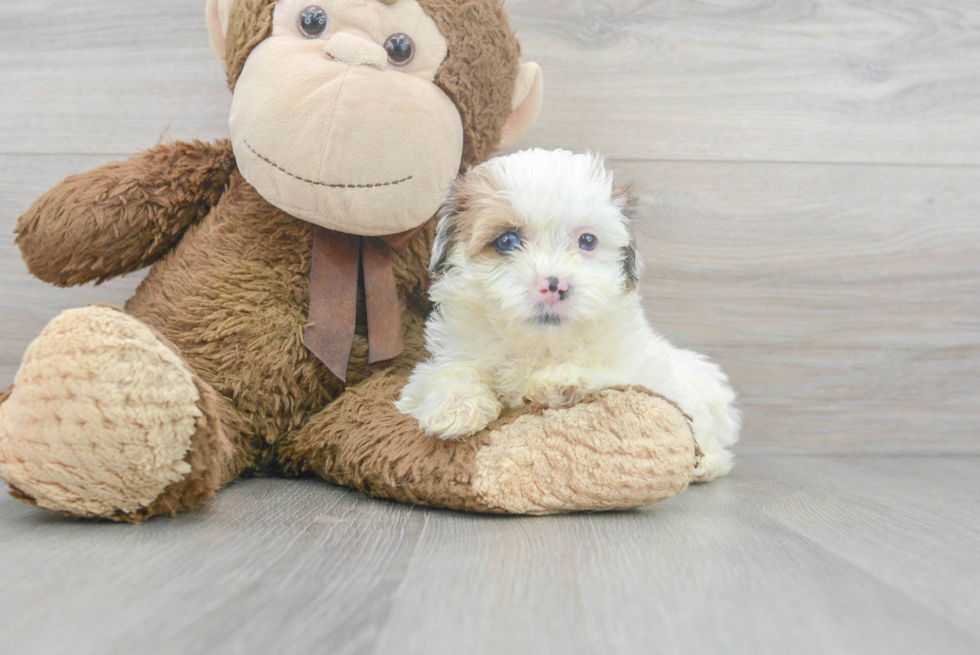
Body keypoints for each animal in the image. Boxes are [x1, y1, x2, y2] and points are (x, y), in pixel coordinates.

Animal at [394, 149, 740, 480]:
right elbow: (450, 372)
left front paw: (564, 381)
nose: (554, 285)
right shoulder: (445, 359)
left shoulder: (646, 375)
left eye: (587, 241)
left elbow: (616, 375)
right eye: (507, 240)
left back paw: (707, 464)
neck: (542, 345)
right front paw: (455, 407)